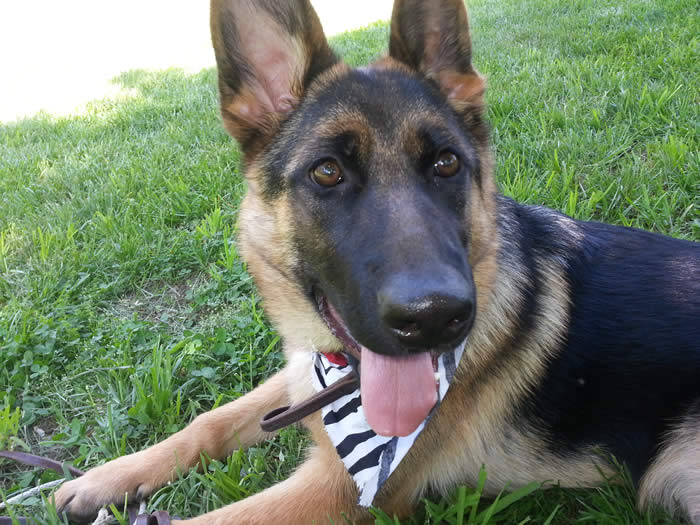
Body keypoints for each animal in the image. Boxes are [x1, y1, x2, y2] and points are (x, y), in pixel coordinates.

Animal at [54, 0, 700, 523]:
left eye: (445, 164)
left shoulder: (335, 491)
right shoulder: (305, 368)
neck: (345, 379)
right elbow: (209, 422)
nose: (436, 317)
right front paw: (108, 478)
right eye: (327, 172)